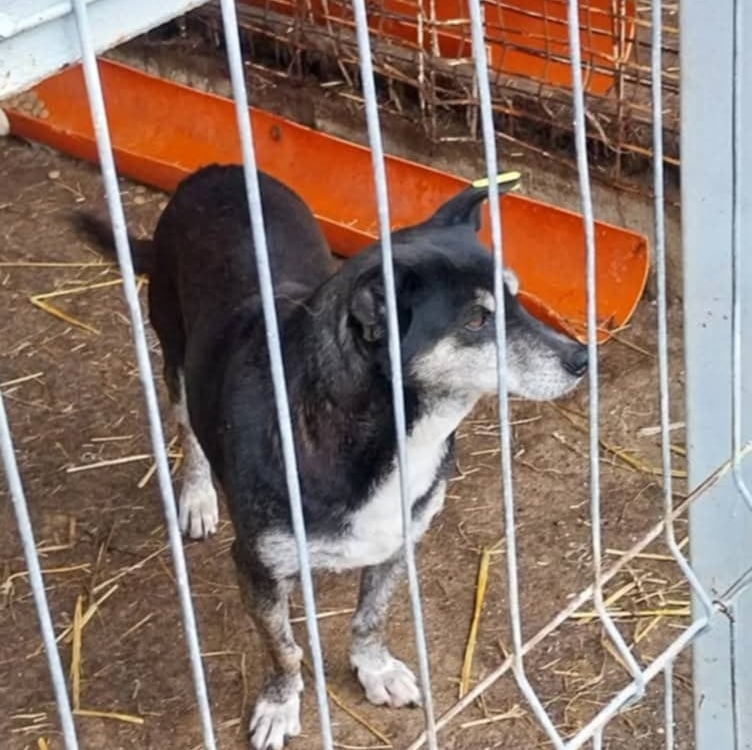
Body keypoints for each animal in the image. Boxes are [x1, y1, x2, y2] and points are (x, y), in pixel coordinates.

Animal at [77, 164, 587, 750]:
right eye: (478, 321)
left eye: (516, 298)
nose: (583, 359)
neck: (389, 434)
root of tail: (217, 171)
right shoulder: (256, 566)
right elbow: (282, 646)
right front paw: (280, 705)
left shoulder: (398, 541)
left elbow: (372, 617)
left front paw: (376, 670)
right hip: (176, 358)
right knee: (188, 429)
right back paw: (198, 496)